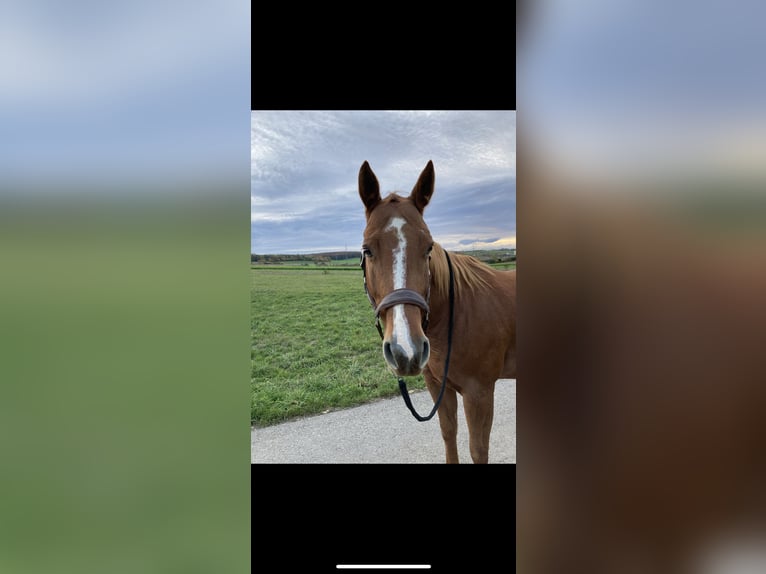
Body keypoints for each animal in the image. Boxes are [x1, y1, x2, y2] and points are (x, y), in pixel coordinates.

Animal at [358, 160, 516, 464]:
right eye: (367, 249)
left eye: (428, 247)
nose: (405, 350)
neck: (457, 314)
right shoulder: (437, 386)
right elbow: (448, 434)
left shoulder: (479, 393)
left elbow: (478, 449)